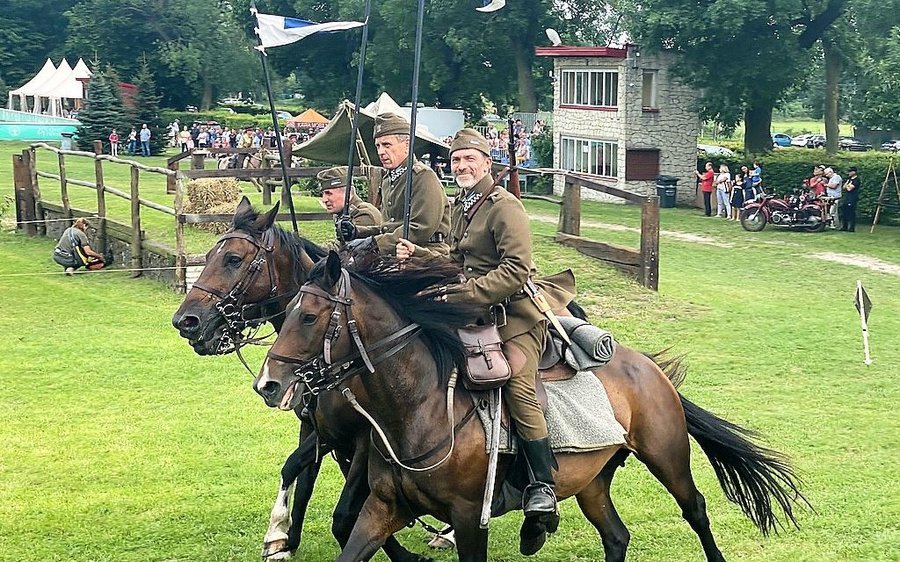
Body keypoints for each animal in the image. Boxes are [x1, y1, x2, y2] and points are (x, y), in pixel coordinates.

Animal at [172, 198, 432, 560]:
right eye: (208, 256)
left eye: (234, 259)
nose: (186, 321)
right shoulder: (316, 429)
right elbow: (298, 473)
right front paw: (284, 537)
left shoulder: (364, 438)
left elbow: (346, 512)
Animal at [255, 253, 808, 560]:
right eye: (289, 310)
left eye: (309, 317)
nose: (268, 383)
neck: (422, 407)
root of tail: (645, 365)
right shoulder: (382, 507)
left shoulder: (467, 518)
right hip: (592, 481)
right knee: (616, 537)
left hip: (667, 456)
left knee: (696, 510)